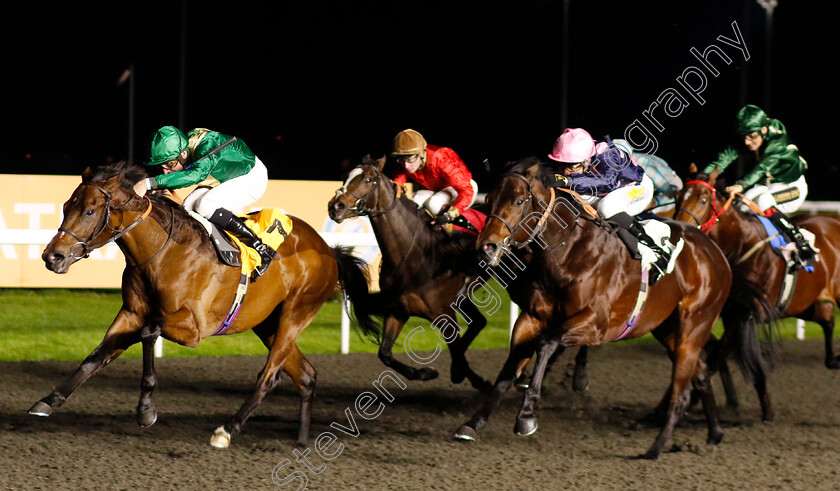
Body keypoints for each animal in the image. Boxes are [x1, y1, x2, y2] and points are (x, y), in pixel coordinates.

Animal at [30, 161, 378, 450]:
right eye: (66, 207)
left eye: (90, 211)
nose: (52, 257)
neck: (163, 252)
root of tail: (329, 250)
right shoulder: (131, 313)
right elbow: (95, 357)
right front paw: (48, 400)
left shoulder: (192, 327)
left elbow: (149, 332)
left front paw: (146, 410)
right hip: (268, 323)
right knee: (305, 376)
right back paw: (302, 442)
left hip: (296, 314)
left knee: (269, 376)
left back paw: (227, 429)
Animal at [324, 158, 488, 392]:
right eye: (345, 177)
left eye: (368, 180)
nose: (335, 206)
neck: (416, 253)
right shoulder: (399, 310)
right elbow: (384, 353)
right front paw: (426, 372)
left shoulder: (444, 313)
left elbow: (456, 353)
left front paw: (479, 382)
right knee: (479, 322)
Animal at [452, 163, 748, 460]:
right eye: (489, 200)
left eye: (519, 201)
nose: (486, 247)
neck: (567, 251)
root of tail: (715, 252)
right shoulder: (532, 318)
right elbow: (507, 372)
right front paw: (472, 424)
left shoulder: (596, 325)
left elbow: (547, 344)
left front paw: (526, 416)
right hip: (668, 329)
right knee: (700, 376)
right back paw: (714, 433)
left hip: (694, 326)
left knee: (681, 393)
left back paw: (656, 448)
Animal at [672, 165, 840, 418]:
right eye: (678, 197)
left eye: (703, 200)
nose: (682, 230)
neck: (742, 244)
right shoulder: (732, 313)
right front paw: (766, 407)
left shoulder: (747, 315)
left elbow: (717, 357)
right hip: (805, 303)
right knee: (827, 321)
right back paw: (832, 360)